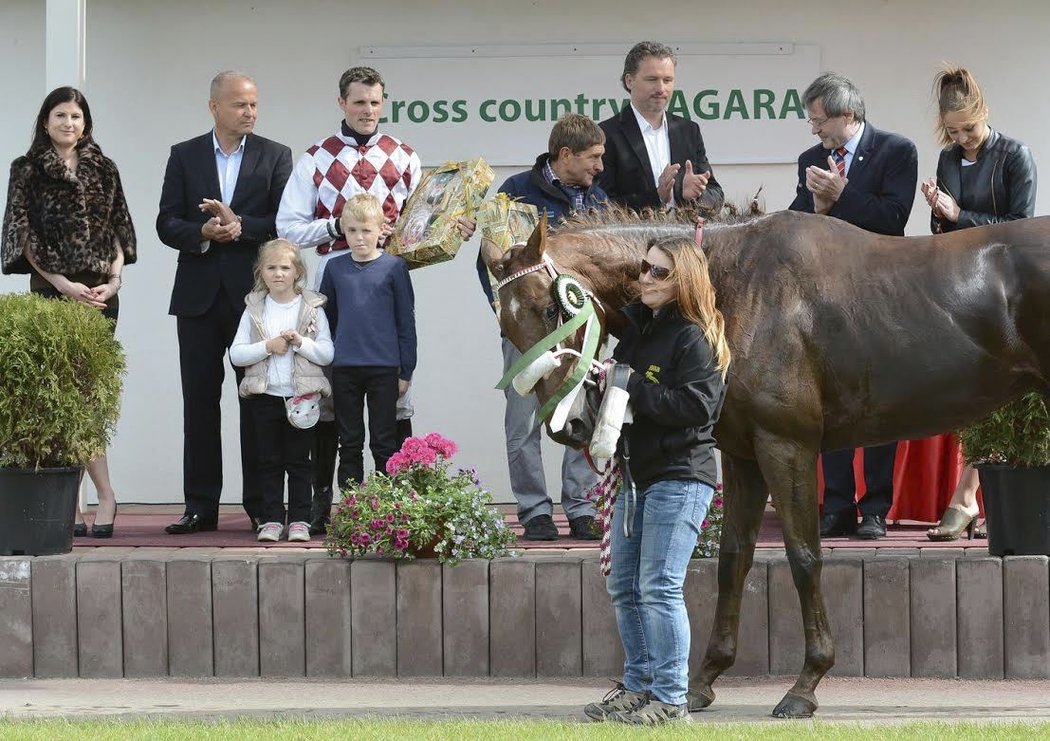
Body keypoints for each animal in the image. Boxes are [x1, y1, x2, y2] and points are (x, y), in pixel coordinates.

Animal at [480, 207, 1050, 713]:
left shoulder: (785, 446)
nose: (570, 424)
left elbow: (803, 558)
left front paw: (805, 686)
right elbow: (734, 560)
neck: (732, 287)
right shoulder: (743, 456)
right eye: (506, 331)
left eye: (552, 309)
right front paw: (703, 682)